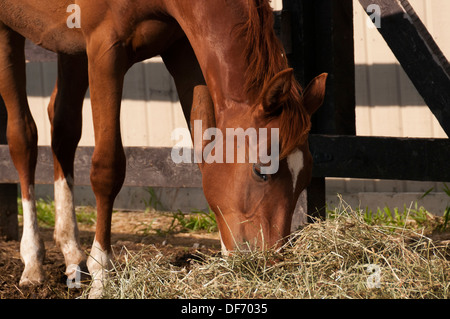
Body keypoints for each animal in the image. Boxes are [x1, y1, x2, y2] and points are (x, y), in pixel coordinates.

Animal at [0, 0, 326, 298]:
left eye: (304, 181)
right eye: (261, 172)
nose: (269, 263)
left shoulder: (182, 50)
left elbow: (206, 150)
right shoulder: (105, 50)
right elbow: (107, 168)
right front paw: (102, 276)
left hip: (70, 47)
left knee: (63, 129)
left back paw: (71, 254)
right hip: (10, 31)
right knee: (23, 138)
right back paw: (33, 261)